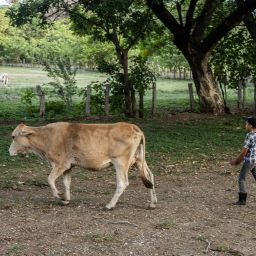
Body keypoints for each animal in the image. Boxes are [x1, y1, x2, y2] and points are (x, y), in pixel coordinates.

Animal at [9, 122, 157, 210]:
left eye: (13, 136)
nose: (9, 151)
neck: (47, 137)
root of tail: (132, 126)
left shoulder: (60, 164)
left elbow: (50, 179)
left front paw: (59, 195)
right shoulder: (68, 166)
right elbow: (66, 183)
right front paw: (66, 199)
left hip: (120, 162)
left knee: (122, 183)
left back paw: (109, 205)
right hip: (139, 160)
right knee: (150, 177)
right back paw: (152, 203)